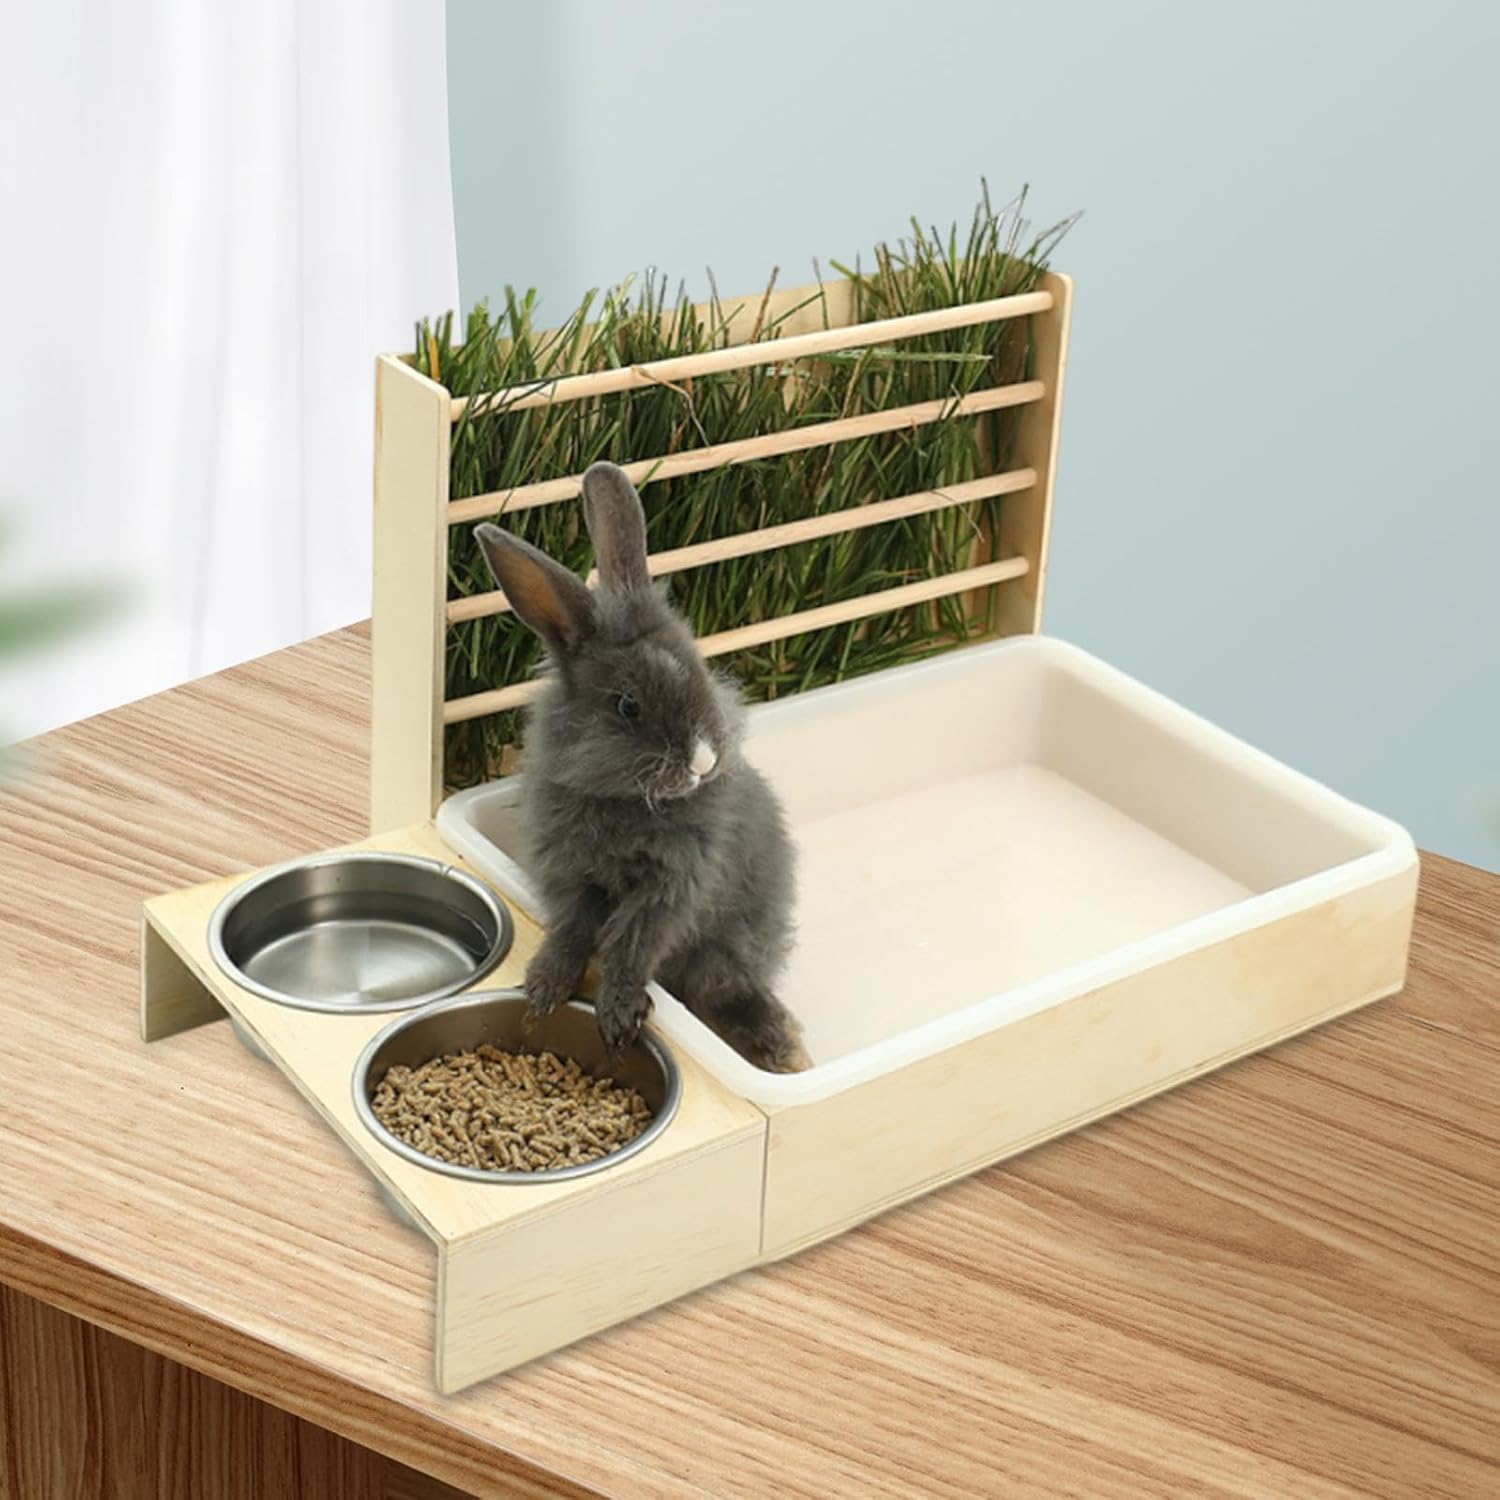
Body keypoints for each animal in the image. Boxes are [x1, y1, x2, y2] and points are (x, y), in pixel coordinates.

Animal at [473, 461, 810, 1073]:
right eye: (628, 705)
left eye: (700, 670)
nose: (704, 760)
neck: (620, 798)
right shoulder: (571, 875)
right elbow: (572, 932)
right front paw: (543, 989)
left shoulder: (670, 888)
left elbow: (630, 949)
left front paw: (618, 1016)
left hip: (731, 944)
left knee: (730, 990)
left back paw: (781, 1046)